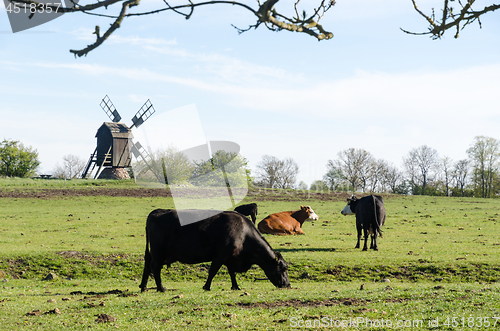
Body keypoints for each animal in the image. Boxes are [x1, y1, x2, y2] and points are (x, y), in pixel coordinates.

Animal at [139, 210, 292, 294]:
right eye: (283, 268)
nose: (288, 285)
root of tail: (157, 211)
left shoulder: (231, 258)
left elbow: (232, 273)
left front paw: (236, 287)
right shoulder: (221, 255)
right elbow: (213, 271)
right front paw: (206, 286)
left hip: (154, 253)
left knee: (147, 266)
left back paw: (144, 287)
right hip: (159, 252)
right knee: (155, 267)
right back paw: (161, 288)